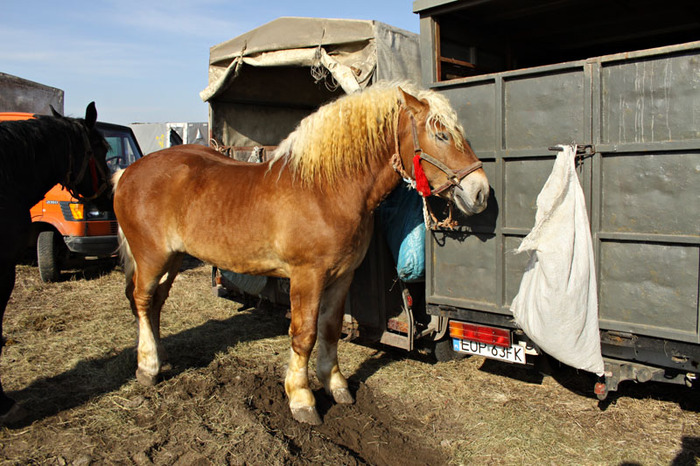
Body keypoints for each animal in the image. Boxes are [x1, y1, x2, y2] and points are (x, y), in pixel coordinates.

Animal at [113, 82, 486, 424]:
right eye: (441, 134)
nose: (480, 192)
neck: (326, 190)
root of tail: (127, 172)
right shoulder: (308, 276)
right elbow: (304, 334)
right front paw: (302, 399)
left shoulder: (343, 276)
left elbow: (331, 329)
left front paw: (336, 385)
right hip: (151, 257)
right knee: (142, 300)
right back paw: (148, 367)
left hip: (173, 259)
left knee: (155, 304)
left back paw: (161, 358)